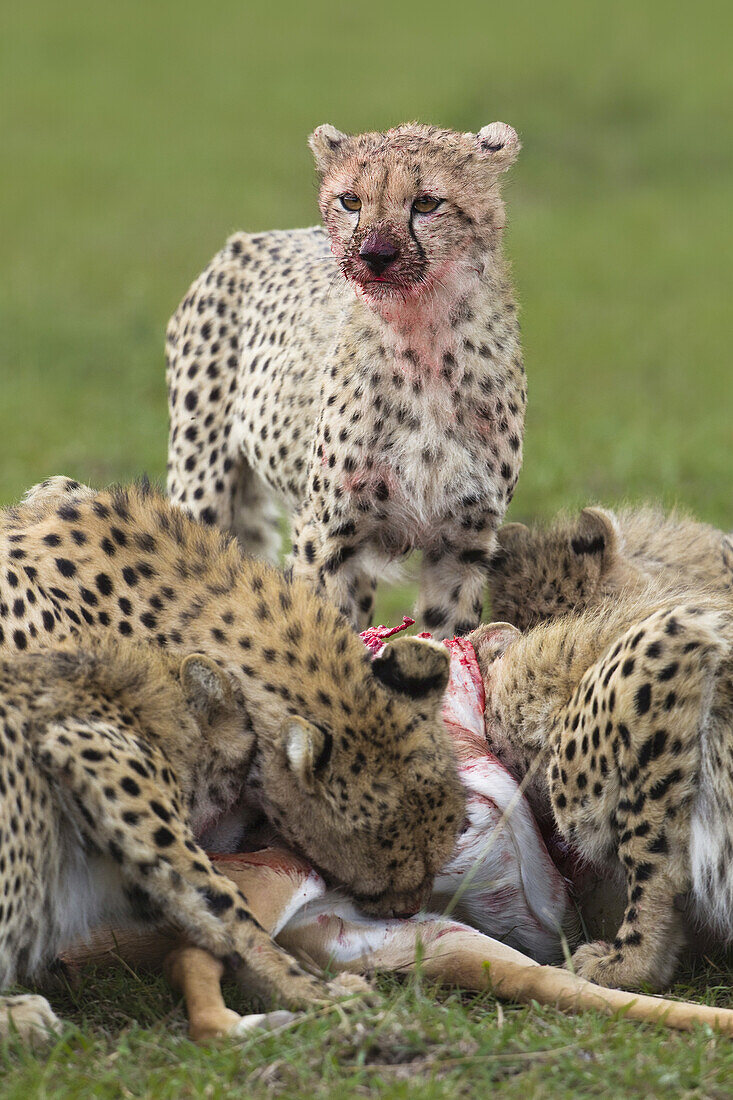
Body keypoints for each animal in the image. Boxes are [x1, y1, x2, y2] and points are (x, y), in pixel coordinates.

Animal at [163, 120, 526, 638]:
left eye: (426, 203)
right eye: (351, 201)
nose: (375, 255)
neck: (424, 338)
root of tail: (247, 239)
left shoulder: (462, 544)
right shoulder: (326, 534)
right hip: (201, 484)